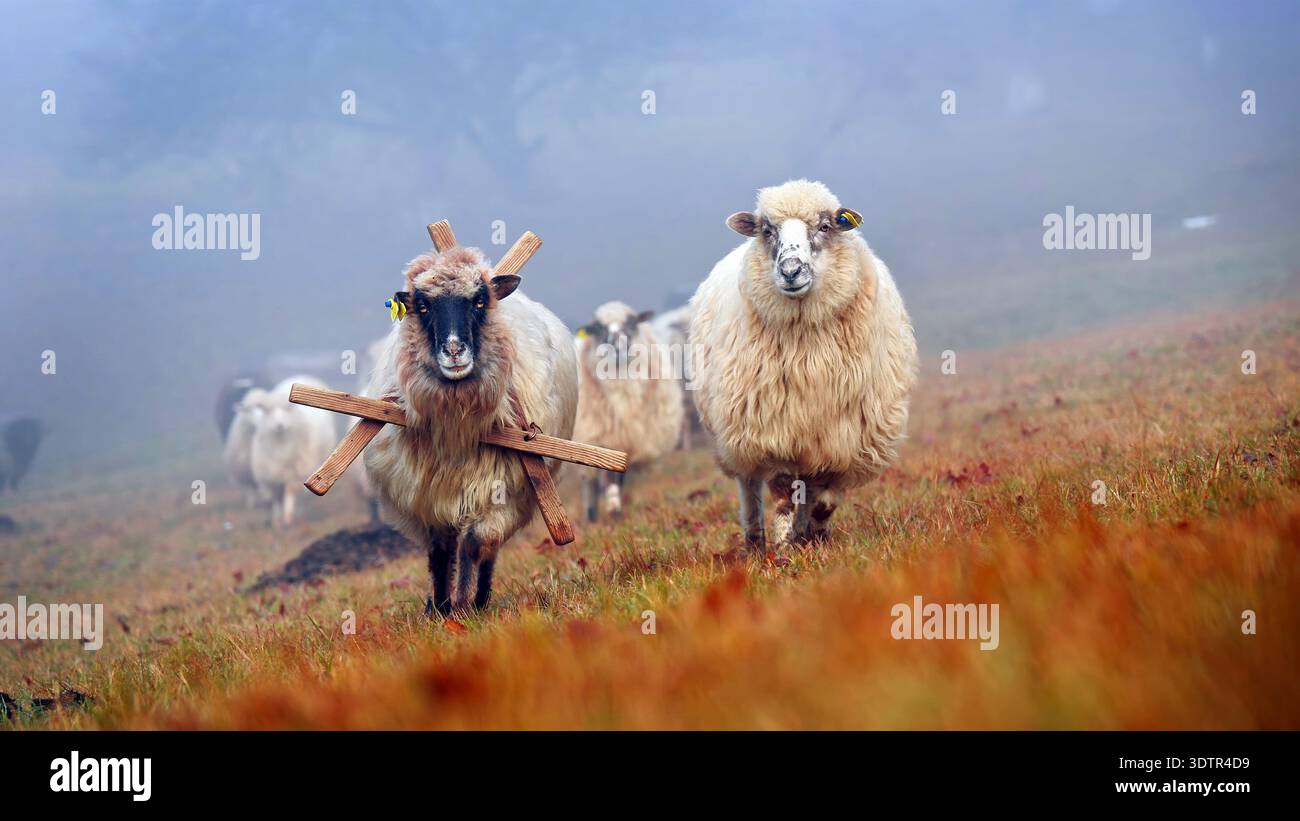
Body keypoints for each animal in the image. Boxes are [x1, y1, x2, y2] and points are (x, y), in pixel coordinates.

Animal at [249, 376, 339, 527]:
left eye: (287, 408)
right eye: (268, 410)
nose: (279, 425)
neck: (281, 445)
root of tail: (303, 375)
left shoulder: (295, 471)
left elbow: (290, 492)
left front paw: (288, 518)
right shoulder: (270, 476)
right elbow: (275, 498)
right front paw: (277, 521)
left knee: (303, 496)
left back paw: (300, 516)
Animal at [362, 245, 578, 615]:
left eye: (479, 301)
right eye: (423, 306)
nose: (453, 351)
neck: (457, 426)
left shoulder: (502, 491)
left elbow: (474, 544)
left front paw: (463, 604)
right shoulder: (426, 494)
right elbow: (440, 551)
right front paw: (438, 607)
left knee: (487, 549)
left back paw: (479, 599)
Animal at [573, 301, 684, 521]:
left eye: (632, 322)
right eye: (598, 328)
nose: (616, 343)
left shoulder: (630, 442)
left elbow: (619, 476)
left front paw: (616, 509)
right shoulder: (603, 438)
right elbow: (607, 476)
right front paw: (613, 507)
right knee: (588, 481)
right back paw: (591, 514)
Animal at [688, 179, 918, 553]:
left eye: (825, 227)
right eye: (767, 231)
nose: (791, 271)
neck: (808, 349)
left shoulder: (840, 436)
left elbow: (822, 500)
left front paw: (814, 539)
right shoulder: (773, 427)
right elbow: (783, 495)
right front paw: (783, 552)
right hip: (736, 433)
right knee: (750, 489)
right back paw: (756, 543)